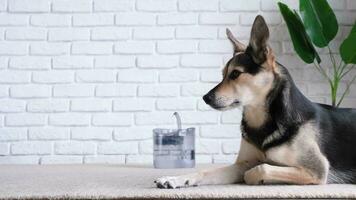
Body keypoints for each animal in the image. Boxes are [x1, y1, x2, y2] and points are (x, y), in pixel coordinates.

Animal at [154, 14, 356, 188]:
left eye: (235, 74)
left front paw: (256, 177)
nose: (205, 98)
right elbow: (206, 172)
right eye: (223, 74)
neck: (261, 120)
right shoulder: (242, 162)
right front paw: (175, 178)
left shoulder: (316, 169)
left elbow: (260, 168)